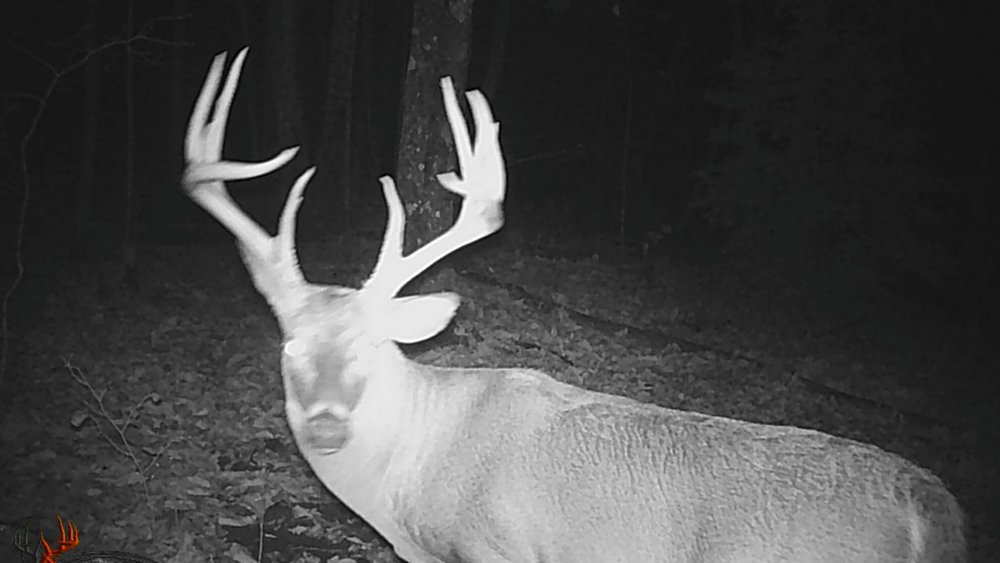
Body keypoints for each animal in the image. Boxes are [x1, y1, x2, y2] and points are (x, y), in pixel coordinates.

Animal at [182, 48, 966, 563]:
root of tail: (933, 510)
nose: (325, 424)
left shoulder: (500, 549)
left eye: (373, 347)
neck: (409, 484)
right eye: (290, 344)